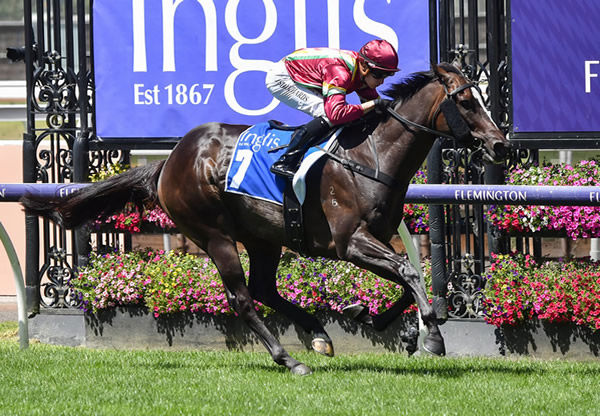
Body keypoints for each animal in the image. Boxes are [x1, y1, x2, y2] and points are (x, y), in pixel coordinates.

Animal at [24, 63, 510, 376]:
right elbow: (409, 271)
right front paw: (431, 337)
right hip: (215, 235)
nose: (500, 144)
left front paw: (388, 324)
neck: (370, 157)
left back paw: (318, 333)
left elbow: (410, 277)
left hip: (264, 236)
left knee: (262, 288)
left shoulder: (379, 236)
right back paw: (289, 359)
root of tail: (170, 161)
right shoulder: (350, 241)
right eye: (467, 100)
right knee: (242, 298)